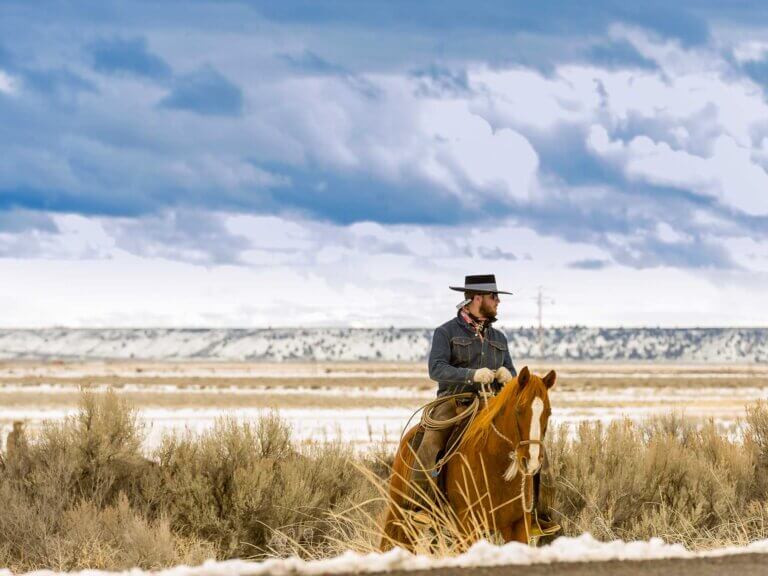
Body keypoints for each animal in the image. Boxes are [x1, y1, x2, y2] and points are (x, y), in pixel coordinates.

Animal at [380, 366, 556, 552]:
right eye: (519, 409)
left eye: (548, 412)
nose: (532, 461)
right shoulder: (468, 526)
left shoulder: (519, 524)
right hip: (400, 512)